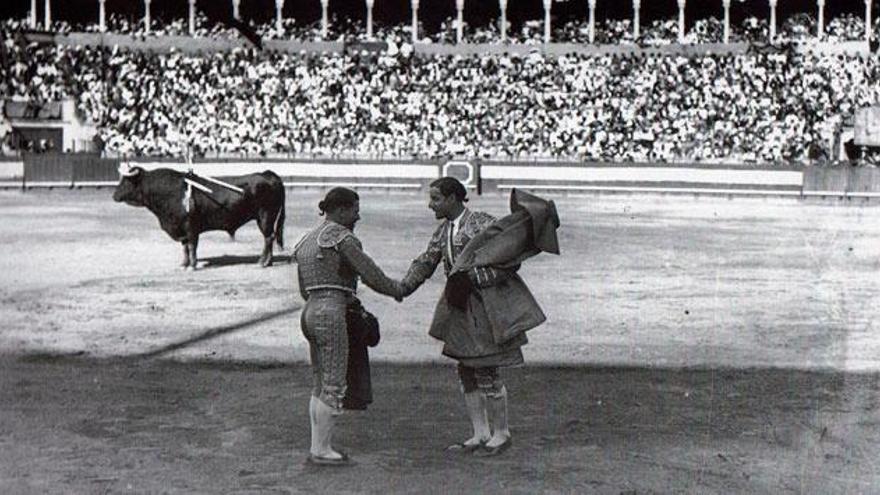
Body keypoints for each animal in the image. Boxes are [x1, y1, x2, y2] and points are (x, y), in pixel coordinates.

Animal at [111, 165, 288, 270]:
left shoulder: (190, 228)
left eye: (127, 181)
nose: (114, 196)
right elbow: (184, 248)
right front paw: (184, 264)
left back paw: (262, 262)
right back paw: (268, 262)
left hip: (265, 217)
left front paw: (193, 265)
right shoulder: (181, 229)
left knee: (268, 237)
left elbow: (191, 246)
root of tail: (268, 175)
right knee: (270, 237)